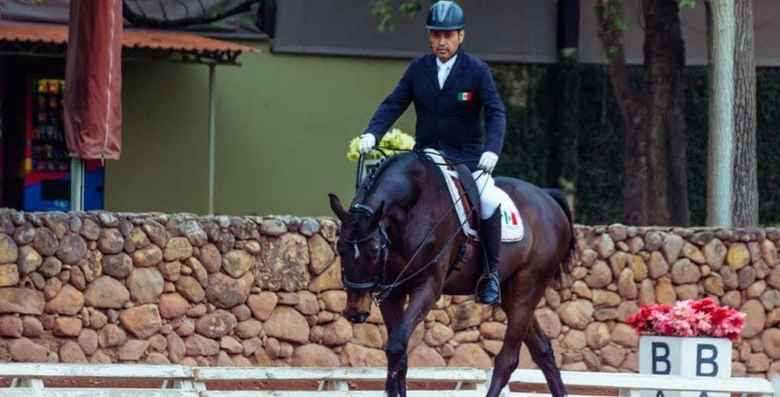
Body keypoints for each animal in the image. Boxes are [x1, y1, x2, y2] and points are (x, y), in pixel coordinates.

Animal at [326, 151, 576, 396]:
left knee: (508, 360)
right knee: (543, 350)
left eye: (375, 250)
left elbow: (396, 347)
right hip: (512, 294)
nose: (355, 312)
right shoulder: (392, 293)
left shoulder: (428, 286)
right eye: (339, 247)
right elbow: (399, 354)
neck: (411, 208)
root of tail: (547, 197)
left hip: (528, 287)